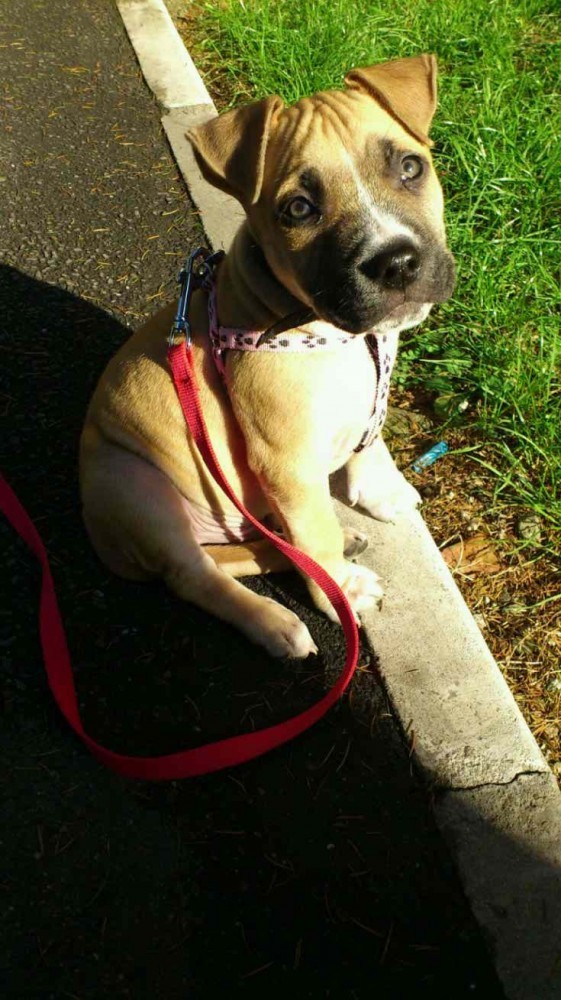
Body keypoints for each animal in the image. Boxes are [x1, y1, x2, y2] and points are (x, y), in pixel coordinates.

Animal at [80, 54, 455, 658]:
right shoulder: (286, 460)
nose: (396, 261)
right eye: (298, 209)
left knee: (250, 550)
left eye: (410, 167)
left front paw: (381, 491)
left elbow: (370, 438)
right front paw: (342, 593)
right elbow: (316, 539)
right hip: (136, 485)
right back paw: (278, 622)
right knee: (196, 574)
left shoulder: (370, 395)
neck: (335, 334)